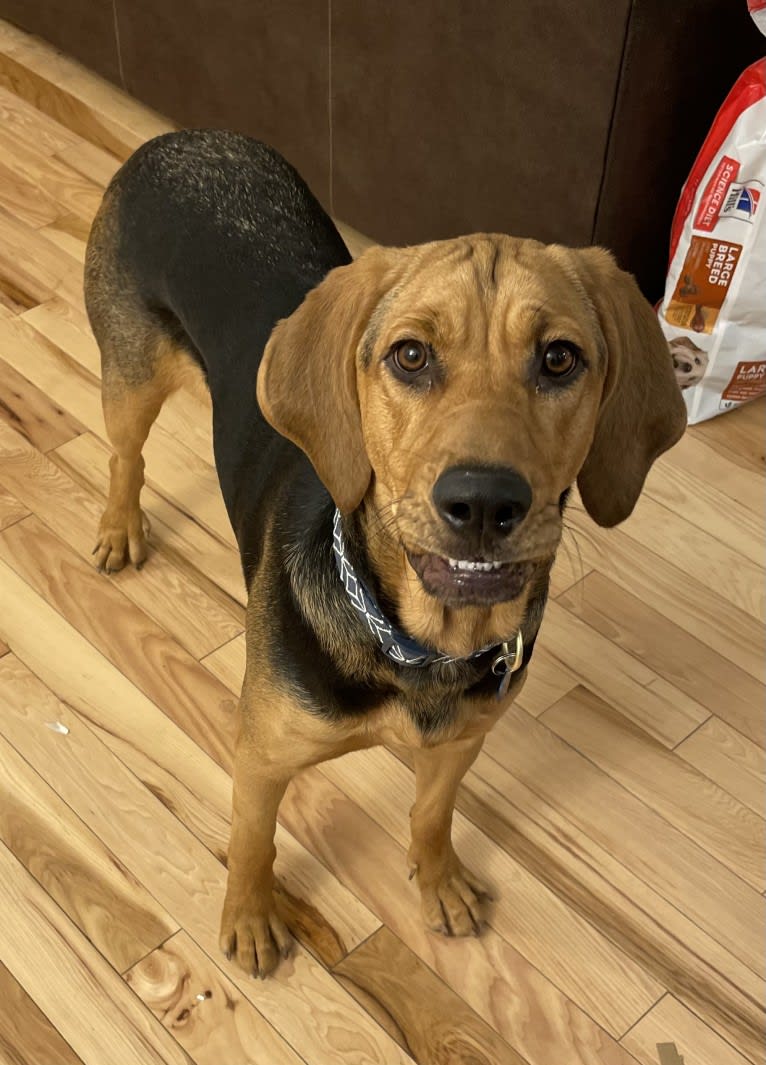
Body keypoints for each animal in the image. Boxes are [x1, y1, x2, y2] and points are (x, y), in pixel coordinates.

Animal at [85, 128, 690, 975]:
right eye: (410, 356)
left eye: (560, 359)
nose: (483, 502)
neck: (420, 644)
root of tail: (182, 138)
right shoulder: (262, 753)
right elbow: (252, 838)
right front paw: (250, 914)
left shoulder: (462, 740)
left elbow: (432, 814)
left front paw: (438, 881)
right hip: (131, 376)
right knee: (125, 454)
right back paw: (118, 528)